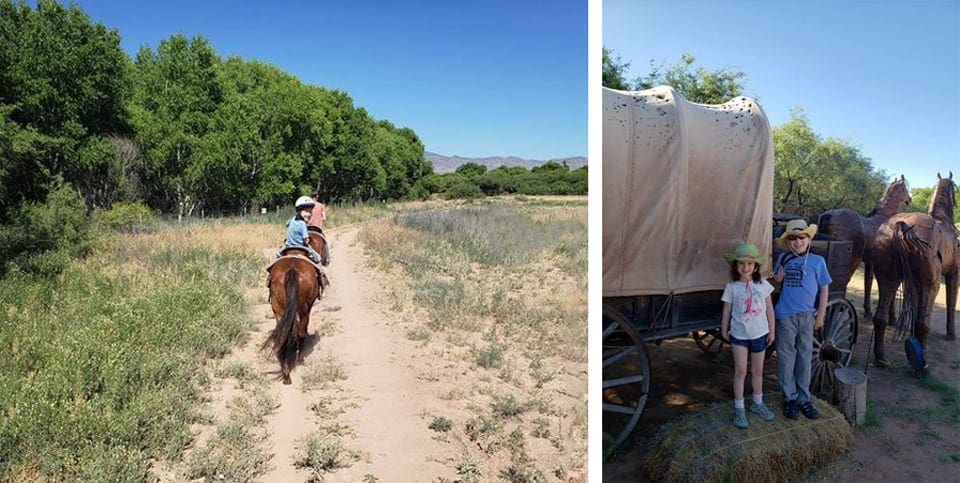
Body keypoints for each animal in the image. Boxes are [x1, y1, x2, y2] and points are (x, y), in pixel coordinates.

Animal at [266, 246, 330, 386]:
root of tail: (292, 270)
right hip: (304, 310)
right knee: (301, 332)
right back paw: (300, 359)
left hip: (278, 310)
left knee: (283, 335)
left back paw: (286, 375)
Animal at [820, 174, 912, 318]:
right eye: (904, 188)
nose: (909, 199)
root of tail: (829, 215)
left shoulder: (870, 262)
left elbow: (868, 283)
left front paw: (867, 310)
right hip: (853, 260)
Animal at [872, 172, 956, 364]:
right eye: (954, 186)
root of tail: (899, 226)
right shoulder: (953, 274)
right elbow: (951, 301)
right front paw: (951, 335)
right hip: (931, 285)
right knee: (923, 324)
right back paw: (922, 366)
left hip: (888, 279)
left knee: (880, 318)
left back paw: (881, 359)